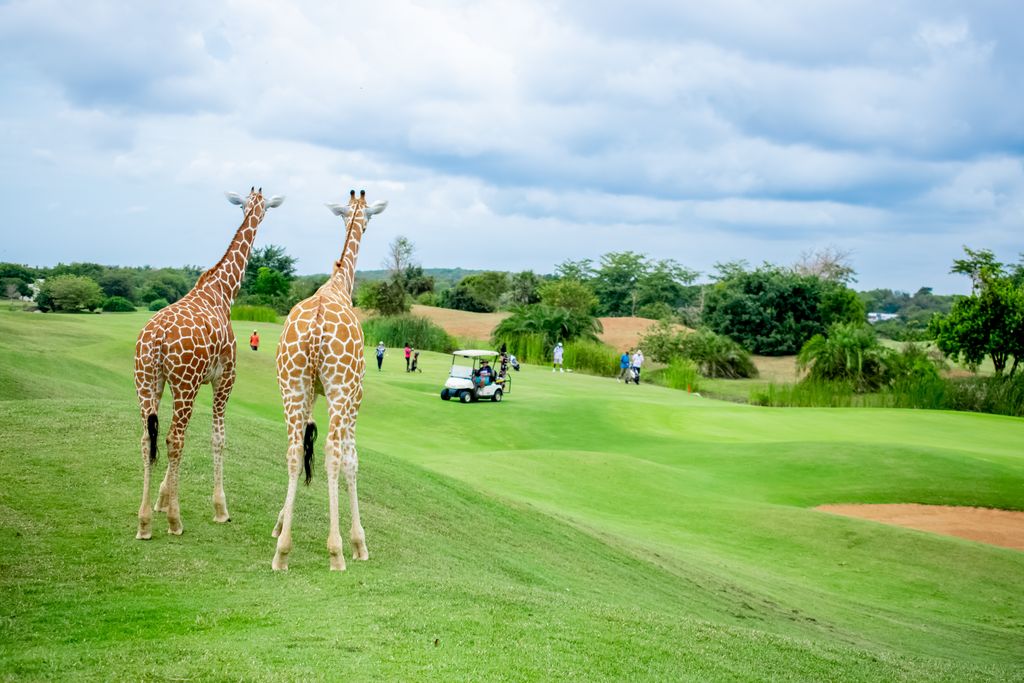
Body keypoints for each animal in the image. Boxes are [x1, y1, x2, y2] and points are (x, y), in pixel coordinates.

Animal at [134, 187, 284, 540]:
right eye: (261, 206)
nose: (259, 212)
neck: (224, 291)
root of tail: (156, 340)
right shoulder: (224, 379)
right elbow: (219, 437)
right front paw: (220, 508)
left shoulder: (194, 381)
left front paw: (161, 499)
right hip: (183, 384)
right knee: (174, 439)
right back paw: (175, 522)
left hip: (147, 380)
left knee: (148, 438)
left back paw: (144, 522)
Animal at [272, 189, 387, 570]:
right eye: (369, 217)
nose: (364, 222)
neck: (339, 284)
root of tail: (316, 328)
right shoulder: (355, 393)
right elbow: (352, 459)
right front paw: (359, 543)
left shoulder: (311, 391)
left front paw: (280, 523)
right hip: (339, 387)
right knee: (334, 453)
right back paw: (336, 551)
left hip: (291, 384)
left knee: (294, 450)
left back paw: (282, 552)